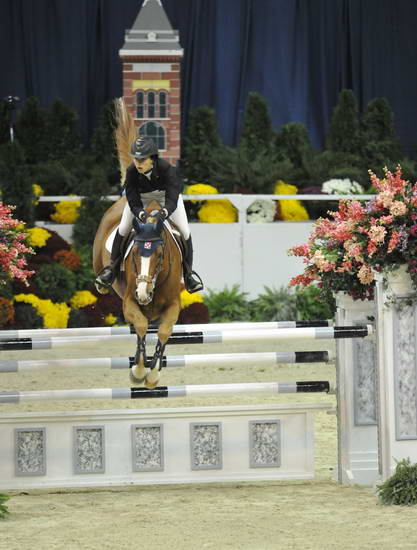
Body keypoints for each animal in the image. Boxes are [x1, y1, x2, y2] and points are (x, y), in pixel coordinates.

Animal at [93, 196, 181, 390]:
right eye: (134, 253)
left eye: (160, 254)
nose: (143, 293)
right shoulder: (129, 303)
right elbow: (141, 326)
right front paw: (139, 371)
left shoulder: (173, 305)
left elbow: (164, 332)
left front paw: (153, 376)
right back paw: (103, 281)